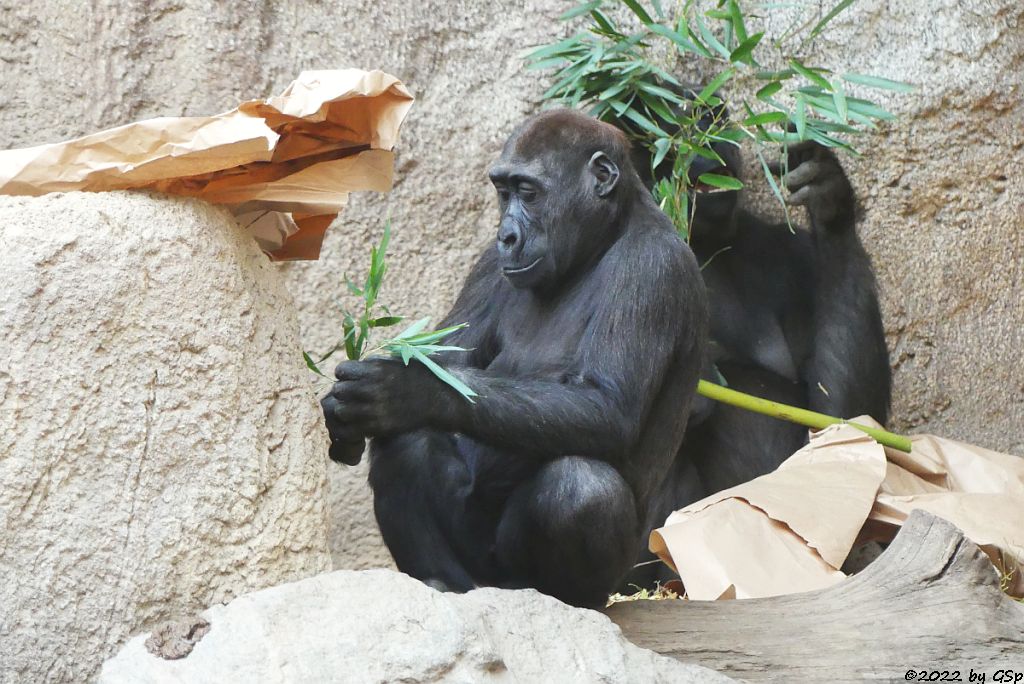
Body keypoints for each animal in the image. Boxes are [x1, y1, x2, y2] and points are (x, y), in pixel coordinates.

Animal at [323, 109, 708, 606]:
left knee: (580, 488)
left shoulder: (653, 265)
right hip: (480, 573)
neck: (606, 235)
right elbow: (443, 357)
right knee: (407, 442)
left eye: (528, 191)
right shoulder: (490, 264)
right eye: (502, 191)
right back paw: (441, 582)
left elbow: (607, 405)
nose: (506, 234)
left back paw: (568, 601)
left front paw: (406, 389)